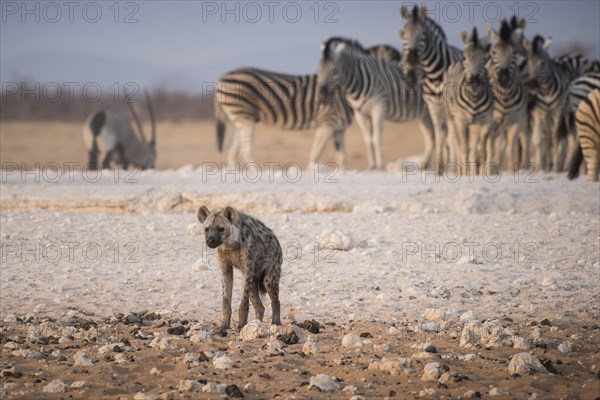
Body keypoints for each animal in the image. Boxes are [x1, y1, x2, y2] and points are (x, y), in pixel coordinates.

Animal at [216, 44, 404, 170]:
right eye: (397, 64)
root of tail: (221, 78)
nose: (408, 82)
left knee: (232, 150)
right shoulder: (327, 123)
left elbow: (342, 157)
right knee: (245, 150)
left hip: (238, 118)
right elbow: (316, 153)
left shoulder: (339, 128)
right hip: (243, 116)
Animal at [318, 35, 432, 170]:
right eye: (319, 69)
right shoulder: (360, 114)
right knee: (432, 137)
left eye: (334, 70)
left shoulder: (378, 109)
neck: (356, 84)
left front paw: (380, 166)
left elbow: (376, 139)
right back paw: (426, 165)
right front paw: (372, 166)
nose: (322, 95)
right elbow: (368, 140)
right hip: (425, 114)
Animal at [398, 4, 464, 173]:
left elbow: (451, 137)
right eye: (402, 34)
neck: (434, 74)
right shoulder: (433, 106)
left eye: (422, 35)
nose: (411, 62)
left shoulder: (448, 107)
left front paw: (452, 169)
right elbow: (440, 135)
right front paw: (440, 168)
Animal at [440, 26, 492, 173]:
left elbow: (477, 149)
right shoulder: (460, 120)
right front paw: (466, 174)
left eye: (485, 58)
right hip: (451, 121)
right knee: (456, 145)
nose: (474, 78)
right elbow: (464, 149)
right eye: (465, 57)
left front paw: (476, 173)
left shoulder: (482, 121)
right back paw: (461, 171)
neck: (473, 97)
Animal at [488, 19, 528, 170]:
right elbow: (490, 147)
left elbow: (510, 149)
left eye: (514, 52)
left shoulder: (515, 122)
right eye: (494, 52)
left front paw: (511, 172)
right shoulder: (492, 122)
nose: (504, 77)